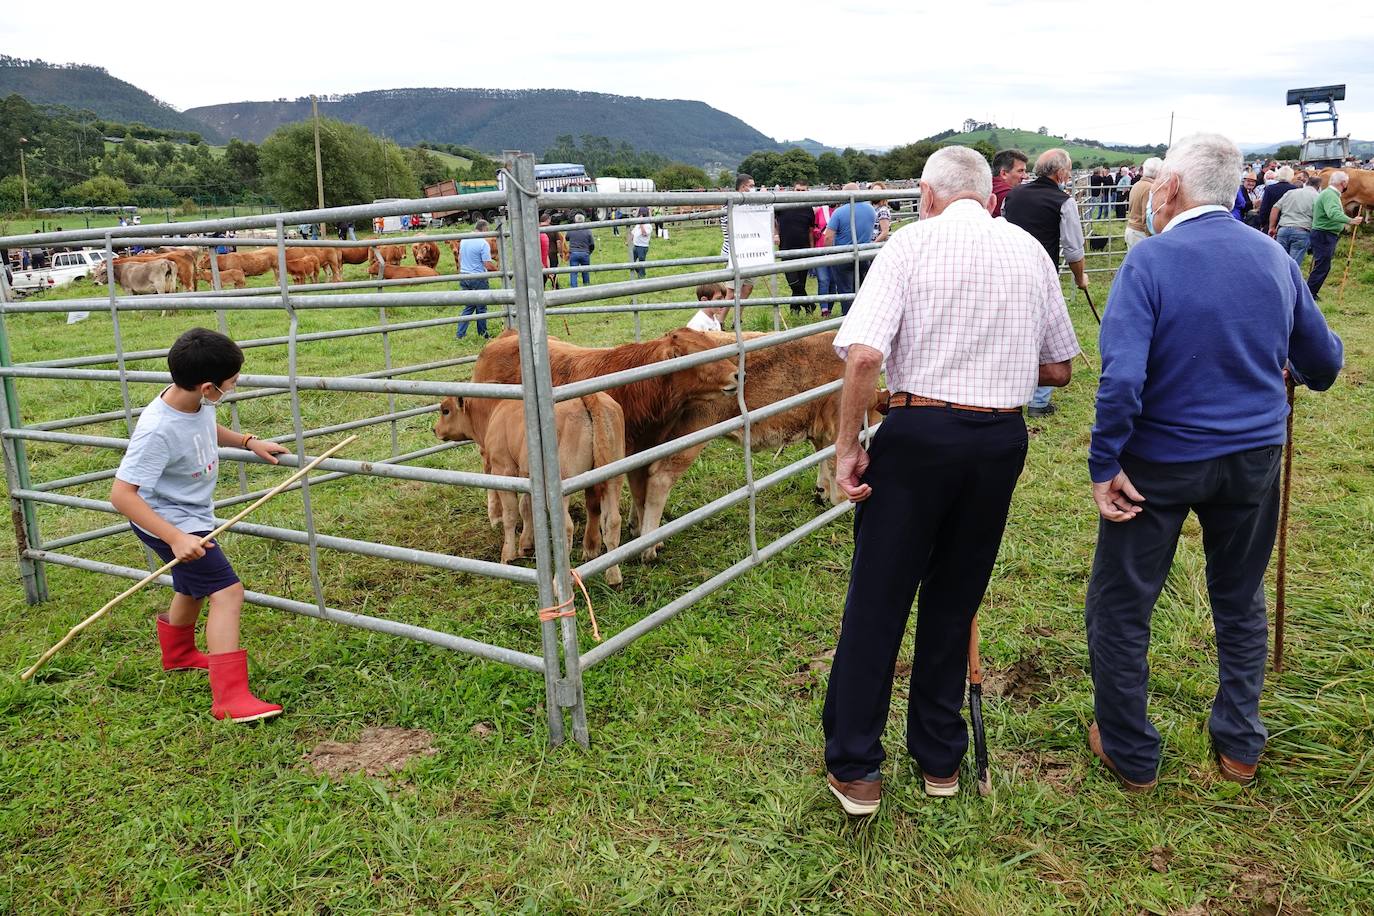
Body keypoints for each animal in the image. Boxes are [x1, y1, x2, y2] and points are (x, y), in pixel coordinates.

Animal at [434, 392, 629, 579]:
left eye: (445, 410)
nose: (434, 429)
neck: (495, 411)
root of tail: (591, 397)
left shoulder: (503, 470)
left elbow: (511, 514)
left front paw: (508, 555)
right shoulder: (527, 476)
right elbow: (527, 508)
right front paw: (526, 546)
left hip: (563, 483)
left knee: (566, 527)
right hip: (613, 478)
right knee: (612, 521)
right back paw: (613, 576)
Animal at [478, 329, 747, 560]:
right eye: (696, 354)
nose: (738, 374)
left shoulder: (641, 452)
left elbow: (641, 495)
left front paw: (649, 537)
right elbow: (595, 504)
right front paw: (592, 546)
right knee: (488, 467)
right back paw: (496, 514)